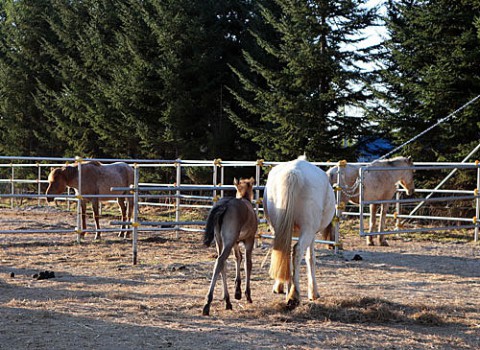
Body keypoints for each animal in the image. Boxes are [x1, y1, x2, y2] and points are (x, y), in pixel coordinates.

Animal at [202, 176, 256, 316]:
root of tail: (224, 205)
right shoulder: (249, 239)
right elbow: (248, 263)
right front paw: (247, 294)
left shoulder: (235, 242)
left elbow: (238, 258)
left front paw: (237, 292)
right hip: (228, 241)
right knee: (220, 261)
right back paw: (208, 303)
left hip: (220, 241)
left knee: (222, 263)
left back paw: (227, 300)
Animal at [262, 157, 334, 308]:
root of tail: (293, 171)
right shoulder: (312, 234)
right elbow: (310, 258)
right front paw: (313, 293)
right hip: (308, 229)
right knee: (297, 250)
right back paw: (294, 295)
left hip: (278, 227)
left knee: (283, 250)